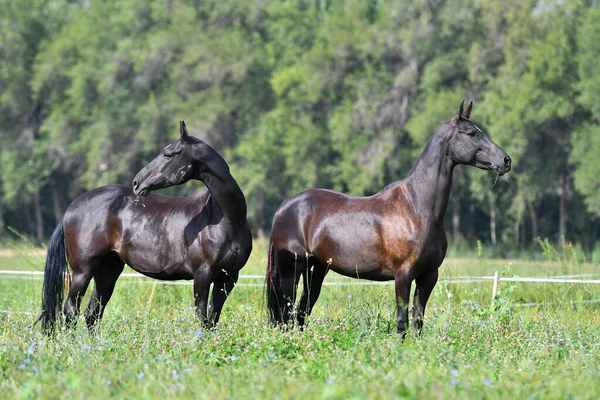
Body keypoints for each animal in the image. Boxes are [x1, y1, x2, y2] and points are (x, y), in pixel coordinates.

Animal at [38, 122, 252, 334]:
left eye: (168, 154)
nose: (136, 182)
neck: (227, 219)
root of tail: (72, 207)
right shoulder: (202, 275)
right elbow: (203, 319)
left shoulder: (228, 278)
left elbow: (213, 319)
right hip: (82, 271)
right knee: (71, 310)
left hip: (108, 270)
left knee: (92, 313)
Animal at [266, 101, 510, 336]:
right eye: (471, 133)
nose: (506, 160)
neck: (417, 207)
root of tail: (284, 206)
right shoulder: (403, 275)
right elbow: (402, 322)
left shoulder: (429, 275)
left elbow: (418, 321)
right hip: (292, 268)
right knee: (286, 312)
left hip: (316, 268)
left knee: (302, 311)